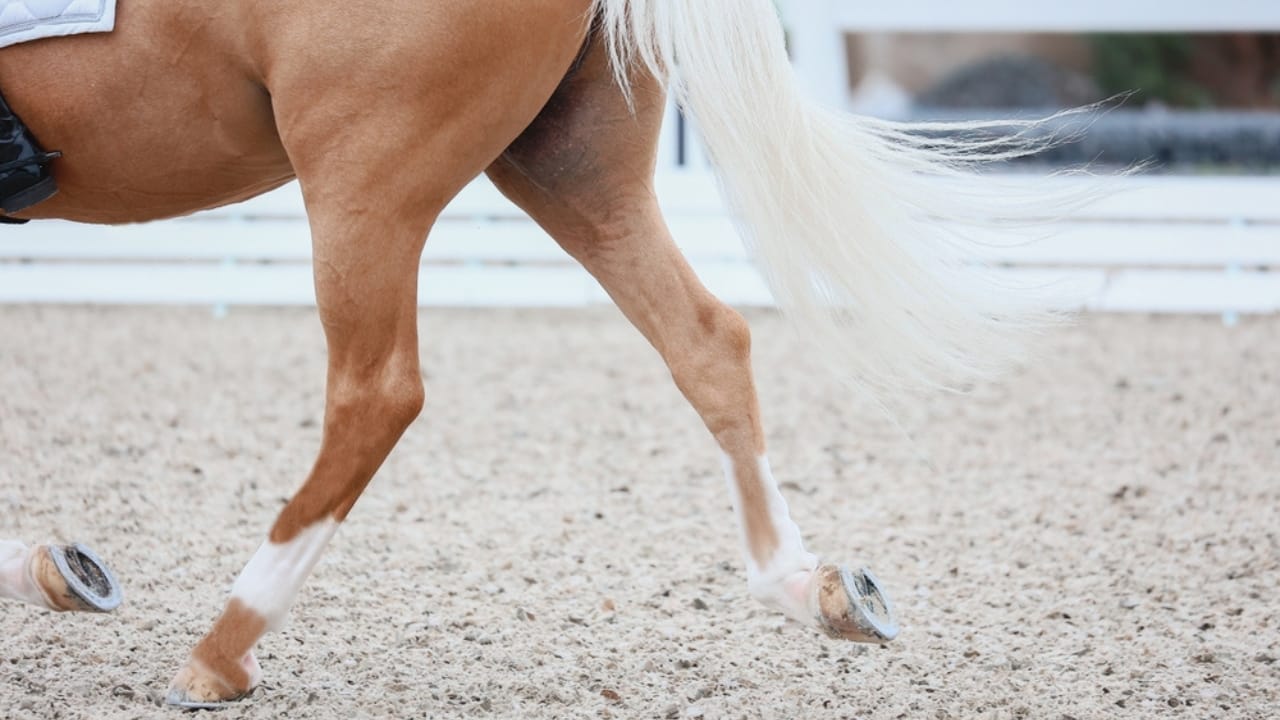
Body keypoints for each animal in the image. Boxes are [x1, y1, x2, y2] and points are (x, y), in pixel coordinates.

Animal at [1, 0, 1071, 708]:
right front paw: (45, 567)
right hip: (569, 162)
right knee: (707, 340)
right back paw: (808, 590)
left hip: (362, 176)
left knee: (376, 395)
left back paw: (219, 654)